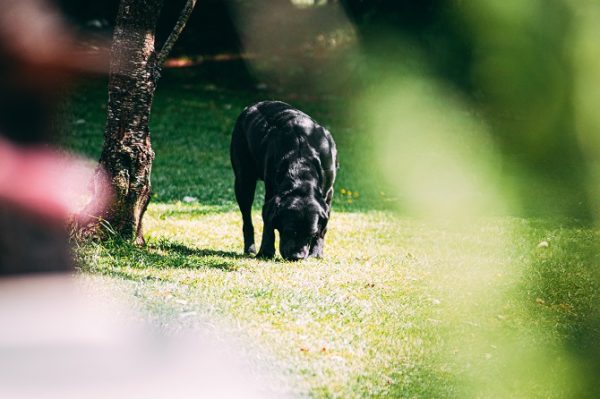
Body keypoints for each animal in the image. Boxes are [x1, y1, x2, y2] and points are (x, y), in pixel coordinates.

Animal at [231, 101, 338, 260]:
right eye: (289, 231)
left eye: (310, 234)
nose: (296, 256)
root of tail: (253, 106)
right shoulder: (271, 191)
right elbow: (268, 225)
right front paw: (266, 251)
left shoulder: (328, 192)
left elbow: (322, 230)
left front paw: (316, 253)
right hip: (244, 181)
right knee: (247, 220)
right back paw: (250, 248)